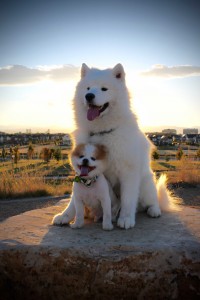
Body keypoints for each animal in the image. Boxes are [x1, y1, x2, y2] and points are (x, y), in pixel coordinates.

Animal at [52, 63, 170, 230]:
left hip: (146, 184)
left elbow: (128, 199)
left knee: (153, 201)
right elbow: (74, 200)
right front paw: (65, 216)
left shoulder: (128, 172)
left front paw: (126, 218)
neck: (101, 132)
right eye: (88, 88)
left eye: (104, 89)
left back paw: (154, 210)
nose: (89, 96)